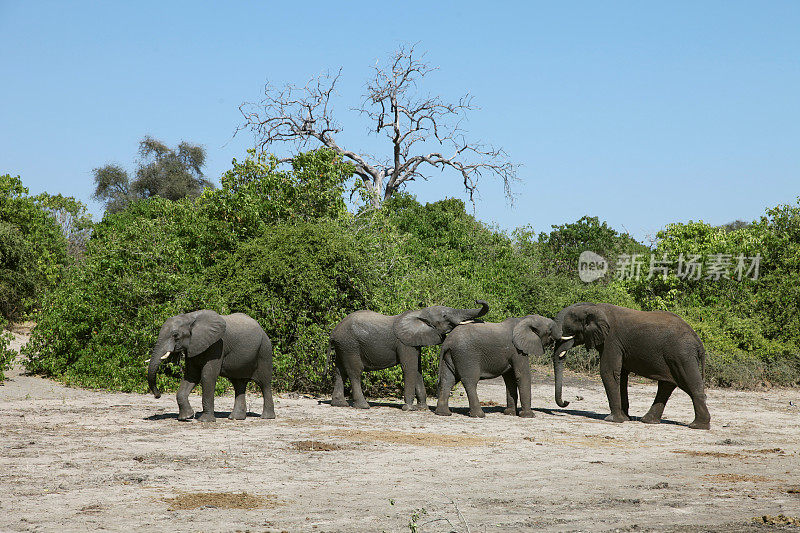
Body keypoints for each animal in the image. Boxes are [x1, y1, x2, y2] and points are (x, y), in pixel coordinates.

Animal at [147, 310, 276, 422]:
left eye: (175, 335)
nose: (158, 396)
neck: (190, 318)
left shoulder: (217, 346)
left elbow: (207, 376)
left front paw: (205, 420)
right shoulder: (193, 346)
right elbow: (191, 376)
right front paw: (186, 417)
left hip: (264, 350)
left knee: (264, 384)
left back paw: (266, 417)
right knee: (238, 384)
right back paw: (235, 418)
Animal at [328, 302, 490, 410]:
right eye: (444, 316)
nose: (478, 301)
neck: (420, 314)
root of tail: (334, 332)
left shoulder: (414, 342)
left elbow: (417, 370)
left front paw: (422, 409)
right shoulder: (404, 343)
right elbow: (410, 369)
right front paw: (409, 408)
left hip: (343, 346)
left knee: (340, 371)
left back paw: (339, 404)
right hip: (350, 345)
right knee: (354, 372)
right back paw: (363, 406)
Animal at [552, 304, 712, 428]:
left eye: (569, 330)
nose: (567, 401)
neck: (594, 308)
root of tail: (698, 341)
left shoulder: (611, 340)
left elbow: (608, 372)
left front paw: (613, 420)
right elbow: (621, 376)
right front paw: (625, 418)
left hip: (682, 355)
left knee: (690, 384)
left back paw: (697, 426)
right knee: (666, 386)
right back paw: (648, 421)